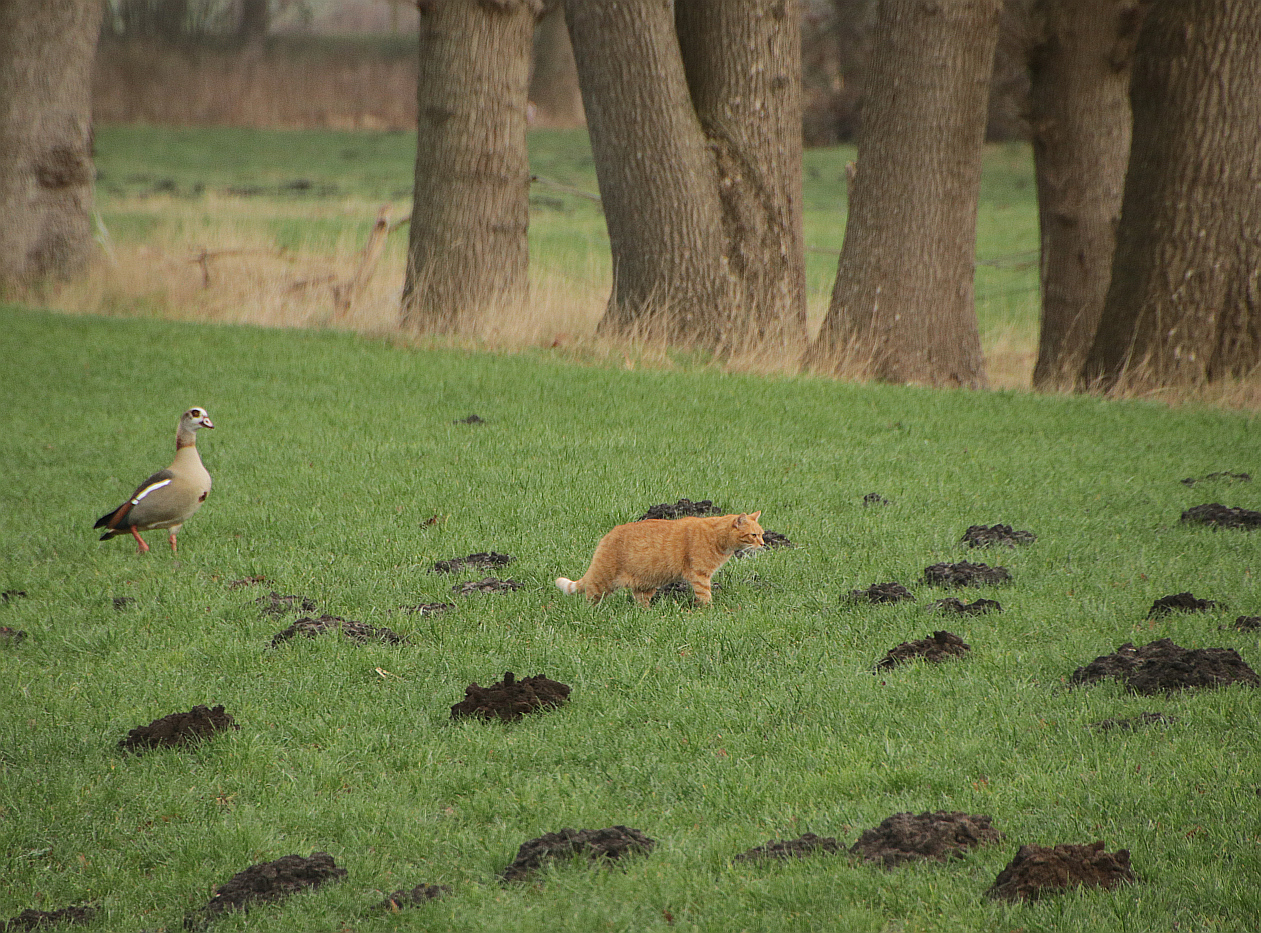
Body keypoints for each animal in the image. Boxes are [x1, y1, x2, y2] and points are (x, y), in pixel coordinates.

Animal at [557, 509, 761, 605]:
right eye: (753, 535)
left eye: (762, 534)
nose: (763, 544)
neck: (717, 536)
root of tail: (607, 536)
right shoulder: (699, 575)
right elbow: (705, 595)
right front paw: (708, 610)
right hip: (602, 581)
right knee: (590, 596)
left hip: (645, 585)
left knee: (641, 602)